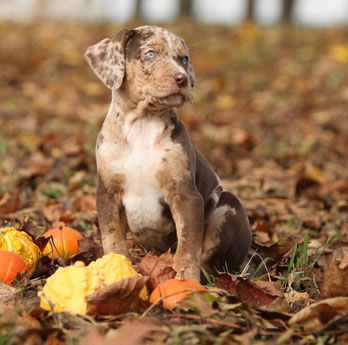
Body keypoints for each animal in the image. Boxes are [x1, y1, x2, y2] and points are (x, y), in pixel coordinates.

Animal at [85, 26, 251, 280]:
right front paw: (116, 267)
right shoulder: (107, 193)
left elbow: (189, 244)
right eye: (150, 54)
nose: (183, 79)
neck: (142, 126)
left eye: (184, 59)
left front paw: (185, 280)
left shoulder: (185, 194)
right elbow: (112, 238)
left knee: (211, 259)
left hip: (227, 206)